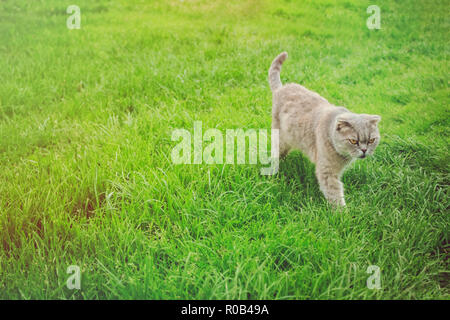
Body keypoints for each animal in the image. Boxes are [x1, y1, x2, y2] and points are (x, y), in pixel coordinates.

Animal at [268, 52, 382, 208]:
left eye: (371, 140)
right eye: (353, 141)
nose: (364, 150)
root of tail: (282, 88)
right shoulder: (327, 172)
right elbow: (335, 194)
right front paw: (343, 213)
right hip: (280, 137)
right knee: (275, 152)